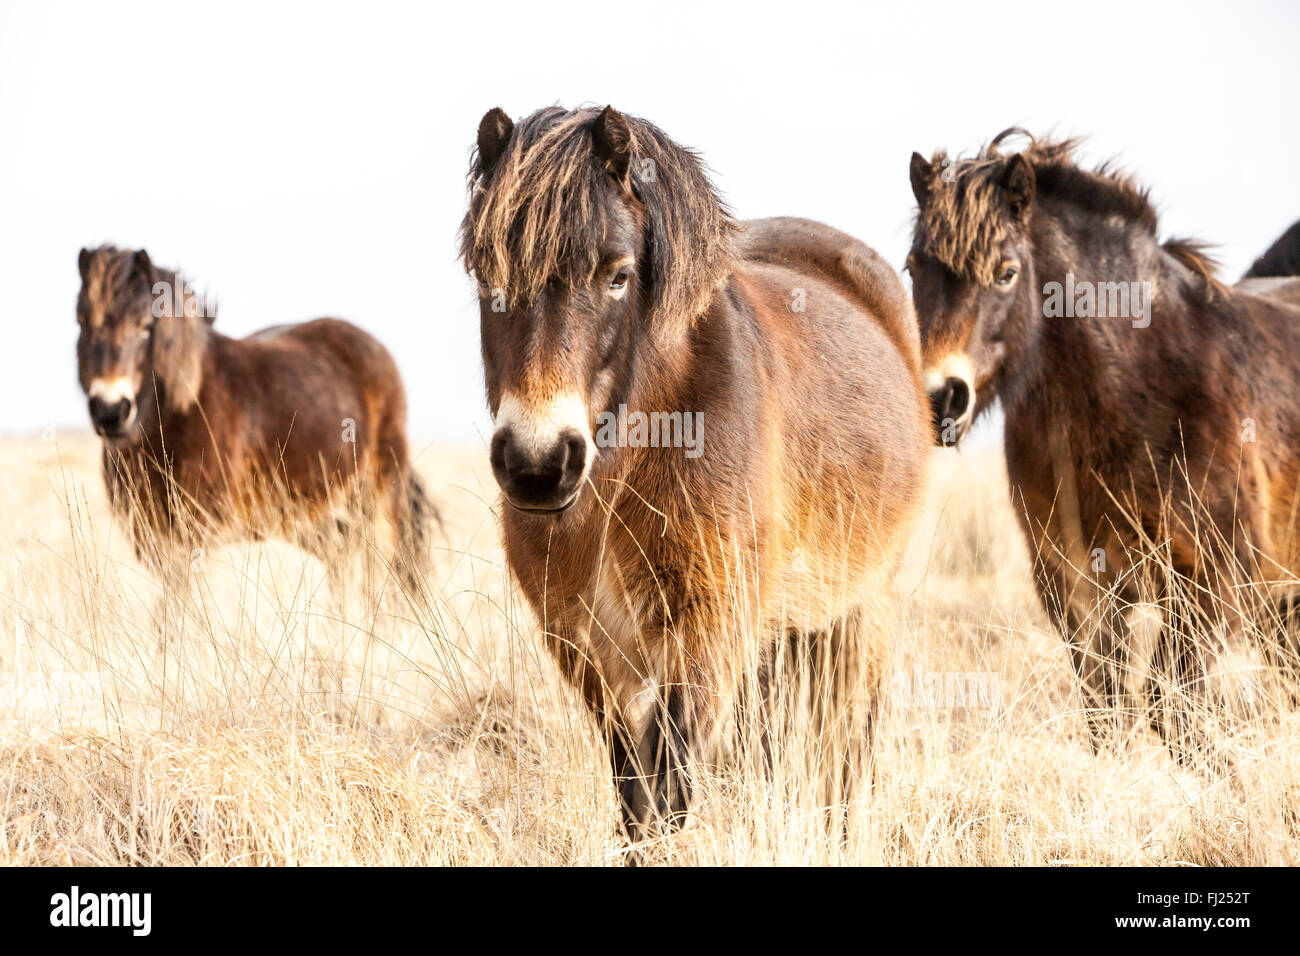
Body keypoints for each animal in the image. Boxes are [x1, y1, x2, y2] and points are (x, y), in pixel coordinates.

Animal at [77, 247, 436, 613]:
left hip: (380, 493)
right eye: (83, 321)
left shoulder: (195, 534)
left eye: (146, 327)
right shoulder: (151, 536)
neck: (180, 413)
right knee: (342, 555)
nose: (110, 412)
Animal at [462, 106, 930, 853]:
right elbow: (633, 794)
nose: (538, 465)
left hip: (862, 614)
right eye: (487, 278)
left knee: (845, 753)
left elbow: (670, 791)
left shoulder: (705, 640)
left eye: (618, 275)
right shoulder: (590, 650)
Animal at [909, 130, 1300, 764]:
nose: (941, 397)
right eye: (913, 267)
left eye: (1007, 272)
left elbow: (1170, 706)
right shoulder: (1075, 582)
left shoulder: (1217, 579)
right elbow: (1109, 709)